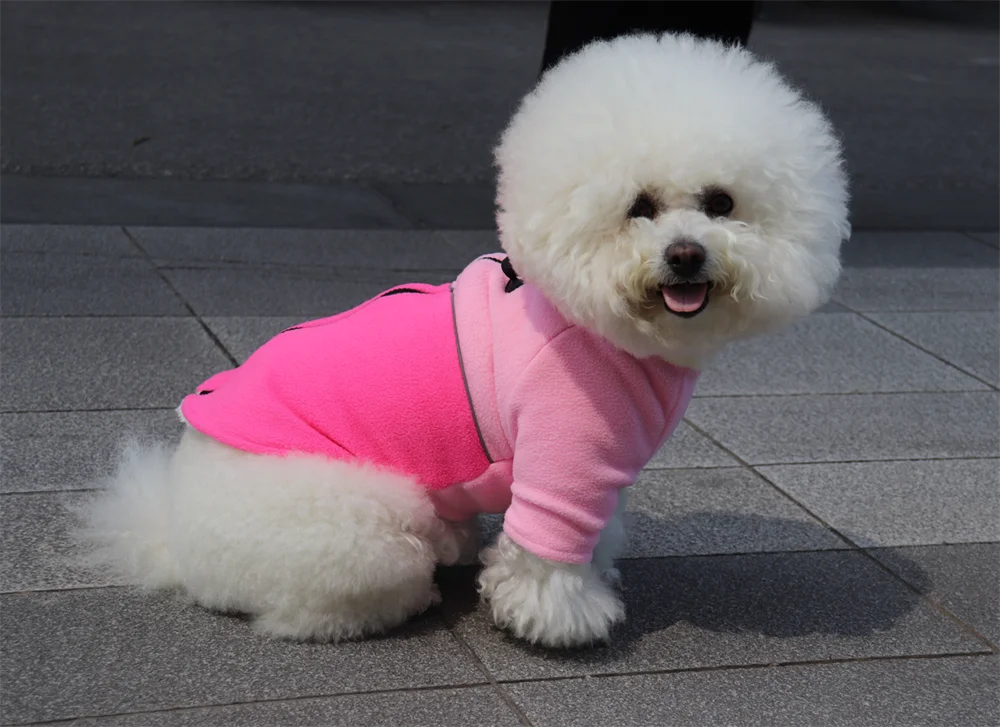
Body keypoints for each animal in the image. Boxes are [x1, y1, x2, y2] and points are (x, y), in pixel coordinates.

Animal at [78, 34, 849, 648]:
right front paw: (562, 618)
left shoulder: (599, 469)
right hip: (363, 519)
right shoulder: (563, 450)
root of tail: (172, 528)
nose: (686, 255)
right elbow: (550, 547)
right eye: (640, 207)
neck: (608, 328)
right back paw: (400, 598)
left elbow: (595, 528)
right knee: (308, 608)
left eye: (721, 203)